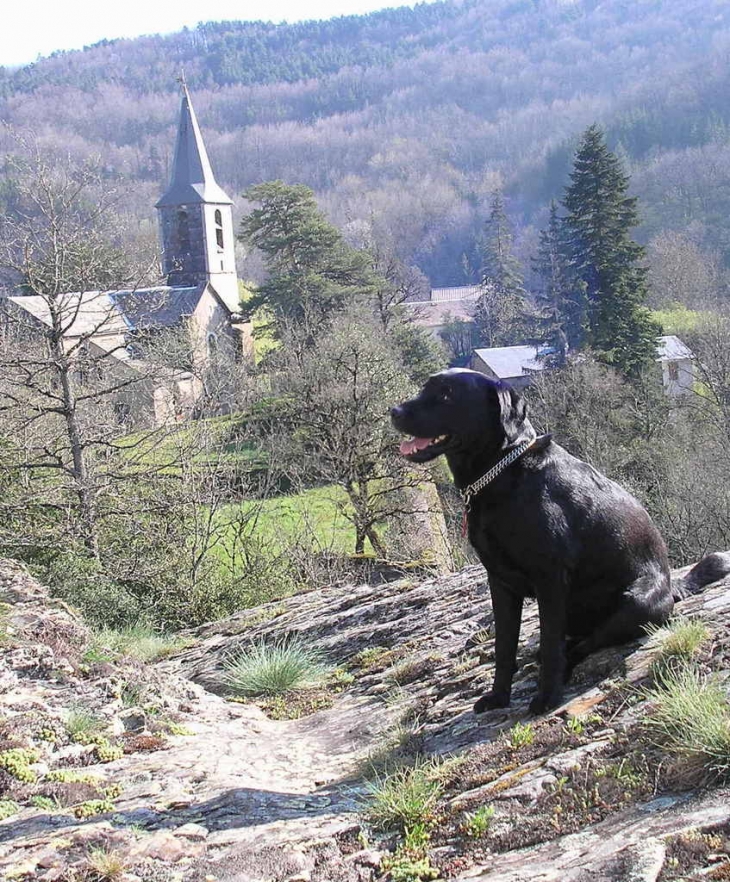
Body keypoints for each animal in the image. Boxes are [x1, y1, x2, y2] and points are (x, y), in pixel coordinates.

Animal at [392, 368, 676, 712]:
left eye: (446, 394)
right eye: (425, 388)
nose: (394, 412)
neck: (504, 471)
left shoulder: (550, 579)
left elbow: (552, 643)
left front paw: (546, 698)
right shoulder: (500, 582)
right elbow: (504, 648)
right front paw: (498, 697)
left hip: (638, 602)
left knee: (580, 645)